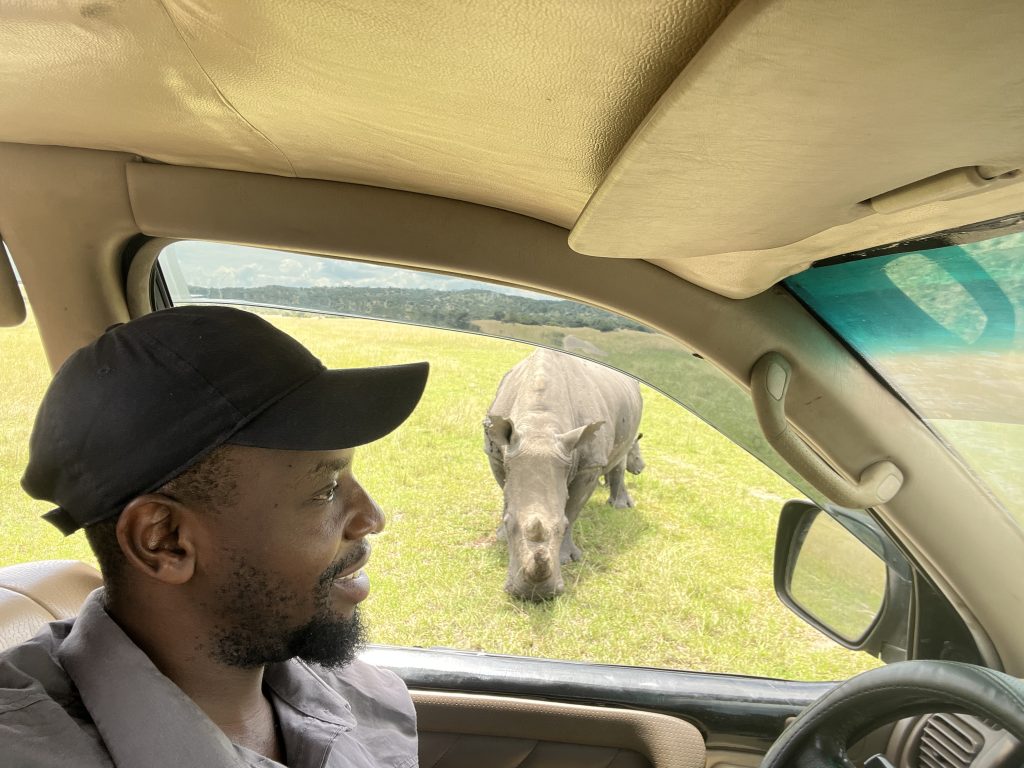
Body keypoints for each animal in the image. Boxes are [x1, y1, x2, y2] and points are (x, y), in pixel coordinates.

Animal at [484, 348, 643, 601]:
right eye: (509, 524)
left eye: (562, 525)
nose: (535, 596)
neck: (540, 425)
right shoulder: (498, 454)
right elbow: (506, 492)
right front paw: (501, 536)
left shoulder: (590, 464)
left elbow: (573, 508)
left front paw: (566, 558)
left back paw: (620, 507)